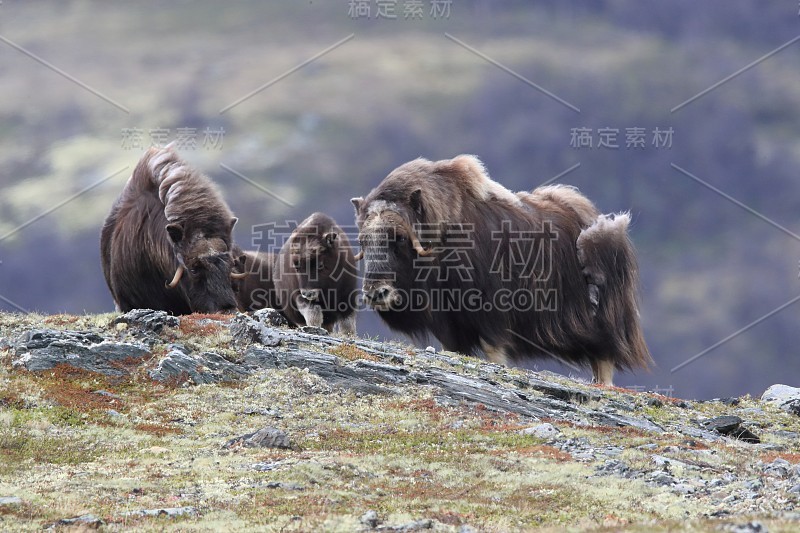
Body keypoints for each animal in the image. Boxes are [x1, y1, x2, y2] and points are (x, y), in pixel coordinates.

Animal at [354, 154, 652, 382]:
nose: (376, 293)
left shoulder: (491, 316)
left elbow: (494, 351)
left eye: (399, 238)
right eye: (363, 241)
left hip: (603, 324)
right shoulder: (449, 324)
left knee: (605, 360)